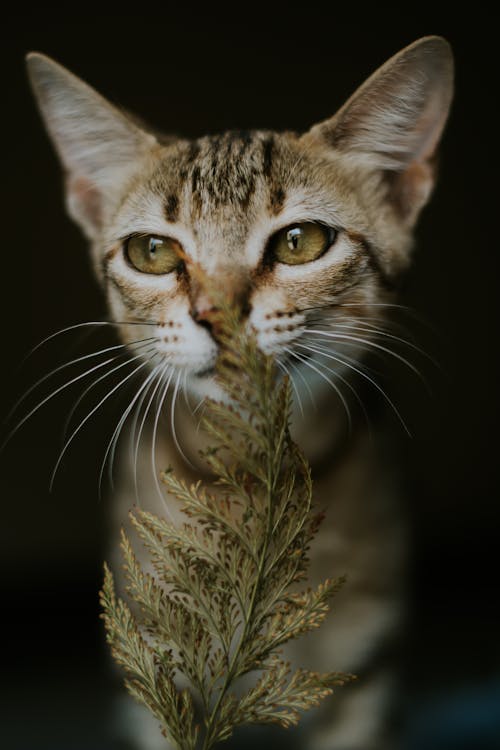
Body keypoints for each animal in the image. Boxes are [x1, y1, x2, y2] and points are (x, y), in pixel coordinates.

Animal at [26, 36, 454, 750]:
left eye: (301, 241)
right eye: (151, 251)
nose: (216, 313)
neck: (253, 479)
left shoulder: (360, 681)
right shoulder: (155, 680)